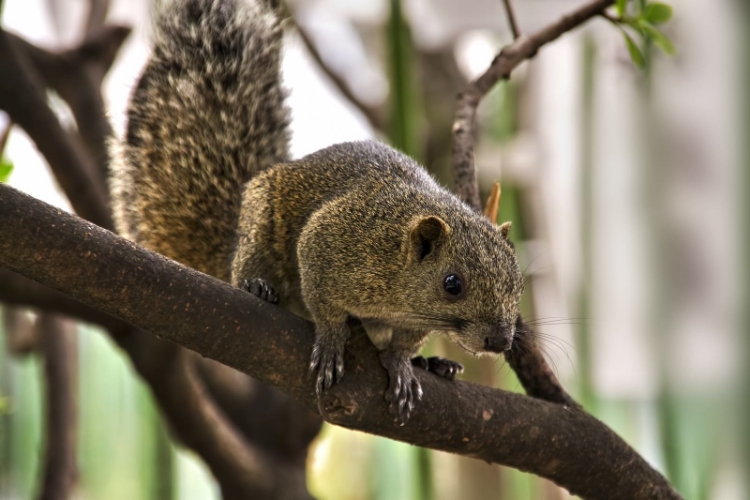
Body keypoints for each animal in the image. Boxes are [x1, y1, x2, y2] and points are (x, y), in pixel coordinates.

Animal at [110, 0, 524, 424]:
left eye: (517, 284)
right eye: (452, 284)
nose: (500, 341)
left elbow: (403, 345)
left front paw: (403, 363)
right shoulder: (330, 241)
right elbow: (324, 303)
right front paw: (331, 341)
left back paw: (433, 364)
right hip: (261, 220)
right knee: (254, 267)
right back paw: (257, 285)